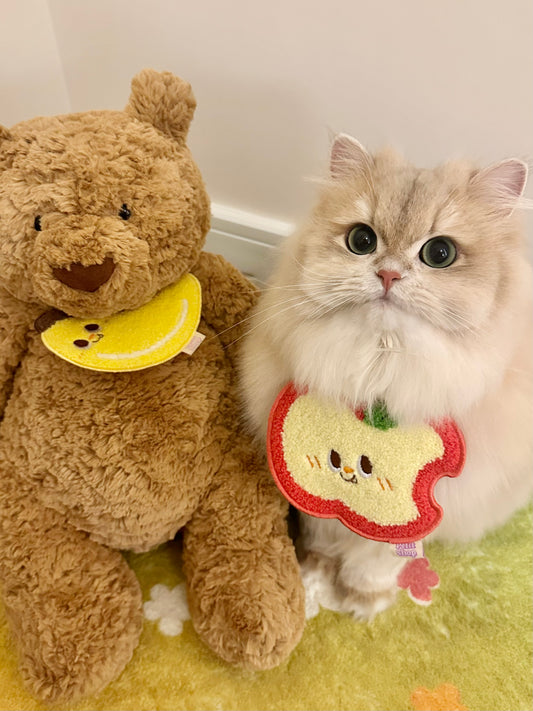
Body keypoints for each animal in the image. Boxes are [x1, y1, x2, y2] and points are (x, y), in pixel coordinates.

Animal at [241, 134, 532, 616]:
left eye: (439, 253)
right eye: (362, 240)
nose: (388, 274)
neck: (379, 373)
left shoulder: (414, 517)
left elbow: (374, 560)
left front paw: (361, 600)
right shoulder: (319, 497)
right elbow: (323, 542)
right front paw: (312, 587)